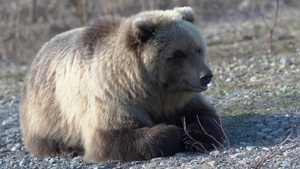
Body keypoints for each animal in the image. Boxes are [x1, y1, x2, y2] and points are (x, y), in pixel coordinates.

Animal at [19, 6, 224, 162]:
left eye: (198, 48)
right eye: (178, 53)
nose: (206, 76)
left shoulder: (181, 98)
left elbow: (206, 115)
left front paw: (192, 136)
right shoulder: (112, 96)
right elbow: (111, 138)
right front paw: (173, 131)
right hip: (47, 112)